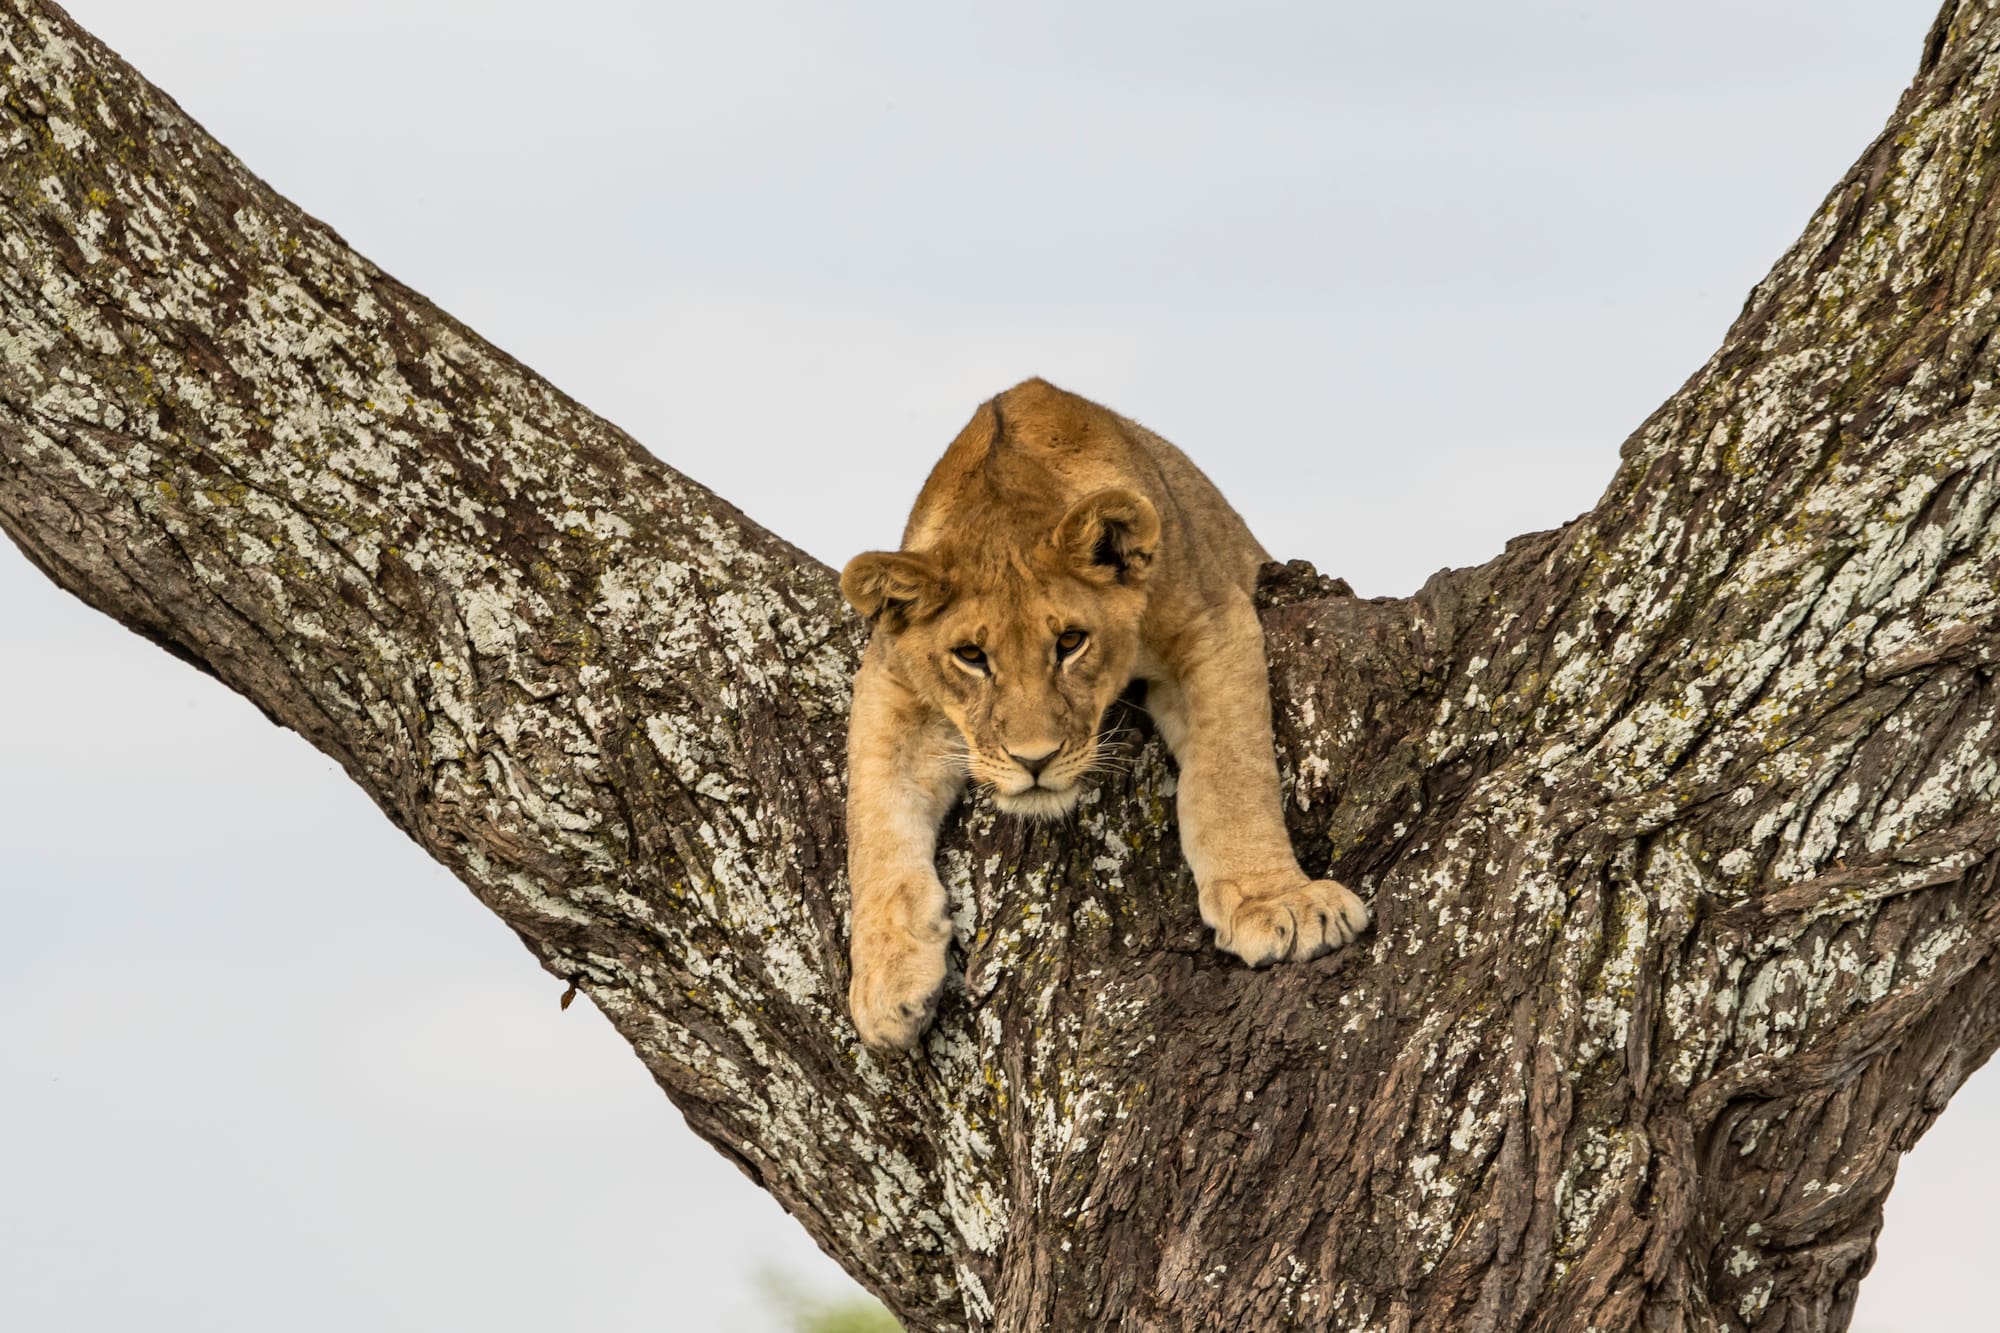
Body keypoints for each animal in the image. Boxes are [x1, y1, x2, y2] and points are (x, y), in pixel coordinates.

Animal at [839, 377, 1370, 1051]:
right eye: (971, 656)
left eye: (1070, 642)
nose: (1034, 761)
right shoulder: (889, 679)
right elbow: (874, 822)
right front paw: (884, 983)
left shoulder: (1211, 620)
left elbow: (1231, 772)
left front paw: (1279, 903)